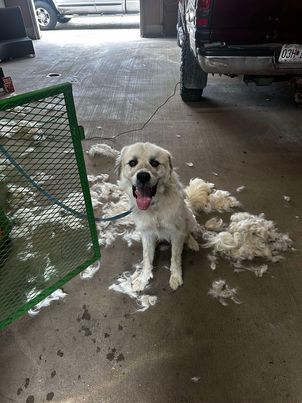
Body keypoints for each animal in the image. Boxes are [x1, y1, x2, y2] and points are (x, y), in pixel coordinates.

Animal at [117, 144, 202, 292]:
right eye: (132, 163)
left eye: (154, 163)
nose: (143, 176)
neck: (154, 207)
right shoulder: (146, 233)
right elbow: (146, 257)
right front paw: (143, 278)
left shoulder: (177, 233)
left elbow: (175, 257)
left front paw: (175, 276)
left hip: (189, 218)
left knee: (188, 232)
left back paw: (191, 242)